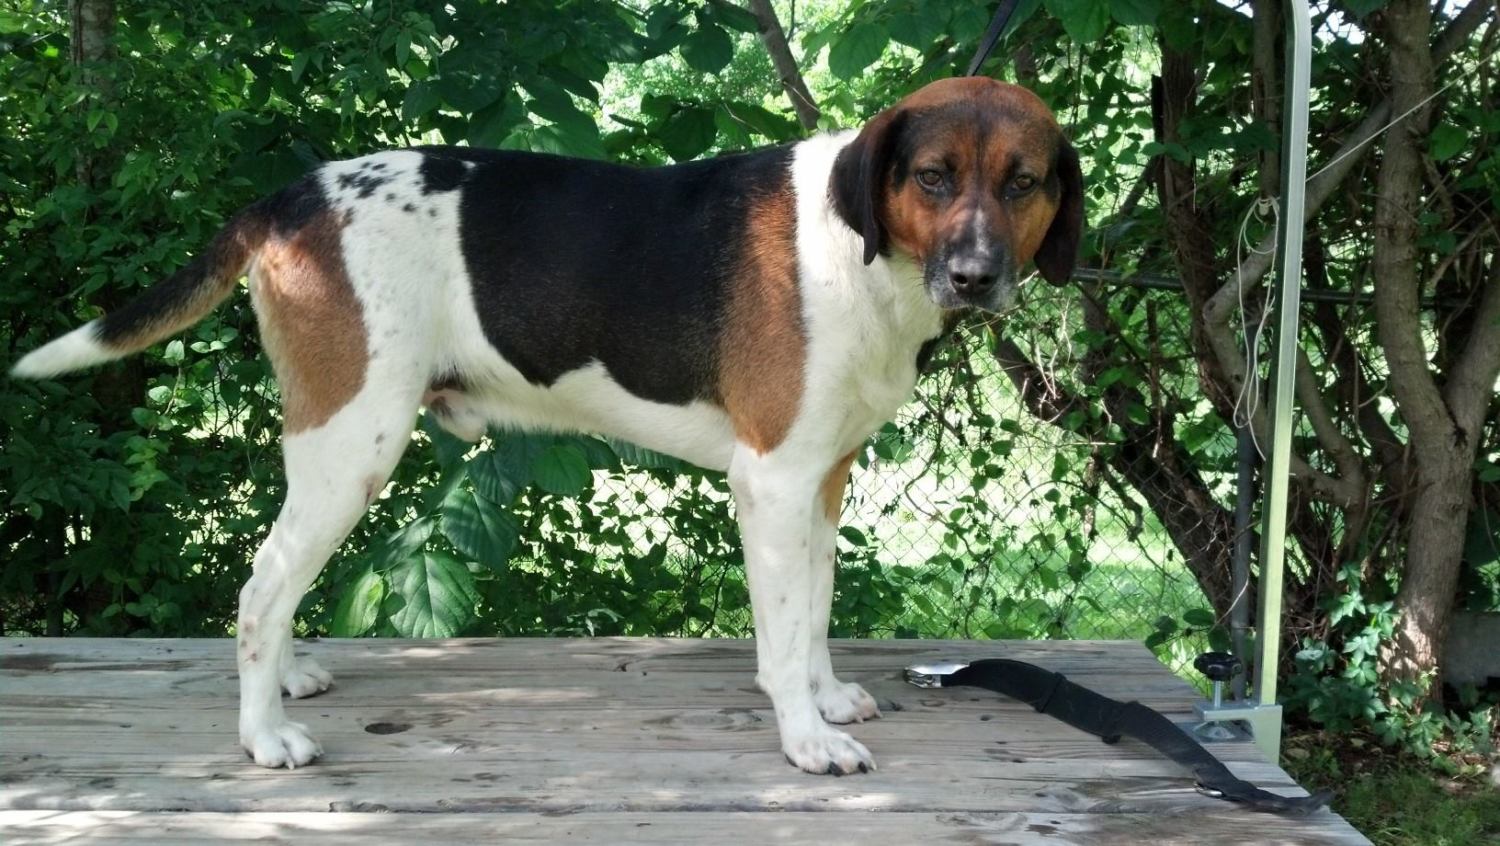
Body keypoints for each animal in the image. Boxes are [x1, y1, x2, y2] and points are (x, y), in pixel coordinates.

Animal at [13, 76, 1082, 775]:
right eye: (933, 177)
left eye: (1022, 182)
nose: (977, 278)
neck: (857, 251)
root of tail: (290, 196)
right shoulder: (772, 483)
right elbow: (782, 635)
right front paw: (806, 738)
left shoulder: (821, 478)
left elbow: (813, 615)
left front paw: (821, 700)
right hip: (350, 446)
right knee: (259, 589)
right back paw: (262, 735)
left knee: (272, 589)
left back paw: (286, 684)